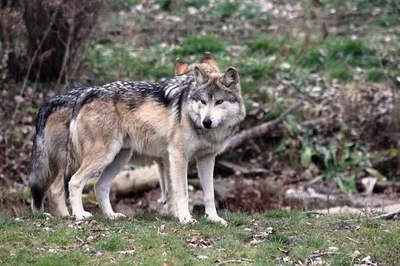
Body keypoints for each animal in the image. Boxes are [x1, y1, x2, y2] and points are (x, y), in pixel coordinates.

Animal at [28, 52, 220, 218]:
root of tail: (49, 103)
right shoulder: (173, 157)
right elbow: (175, 189)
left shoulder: (164, 159)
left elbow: (169, 189)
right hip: (78, 160)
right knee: (57, 189)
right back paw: (71, 216)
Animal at [67, 66, 245, 224]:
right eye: (203, 101)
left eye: (219, 102)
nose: (206, 122)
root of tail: (90, 92)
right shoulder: (178, 155)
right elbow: (182, 191)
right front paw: (186, 219)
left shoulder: (206, 158)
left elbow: (209, 194)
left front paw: (214, 219)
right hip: (104, 156)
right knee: (75, 181)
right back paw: (79, 215)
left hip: (119, 159)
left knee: (100, 186)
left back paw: (111, 216)